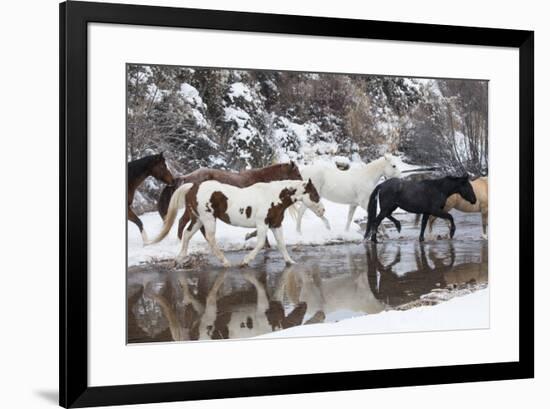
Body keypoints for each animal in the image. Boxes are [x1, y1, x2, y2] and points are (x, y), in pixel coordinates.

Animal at [149, 179, 326, 268]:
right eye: (315, 194)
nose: (323, 210)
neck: (274, 196)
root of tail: (193, 186)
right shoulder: (262, 224)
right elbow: (260, 243)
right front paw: (245, 261)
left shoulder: (276, 224)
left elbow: (281, 244)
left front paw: (290, 262)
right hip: (208, 219)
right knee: (210, 239)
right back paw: (226, 262)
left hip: (198, 219)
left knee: (186, 234)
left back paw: (179, 260)